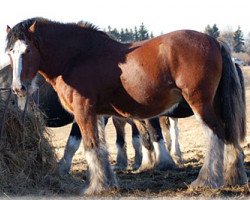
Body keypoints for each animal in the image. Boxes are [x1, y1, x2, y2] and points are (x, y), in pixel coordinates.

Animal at [5, 18, 246, 195]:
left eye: (27, 50)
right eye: (10, 52)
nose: (18, 88)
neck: (76, 57)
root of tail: (214, 41)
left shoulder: (83, 111)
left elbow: (90, 146)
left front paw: (97, 187)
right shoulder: (98, 114)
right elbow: (100, 148)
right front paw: (107, 182)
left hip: (200, 102)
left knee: (216, 134)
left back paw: (206, 181)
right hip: (216, 103)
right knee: (229, 133)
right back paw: (234, 176)